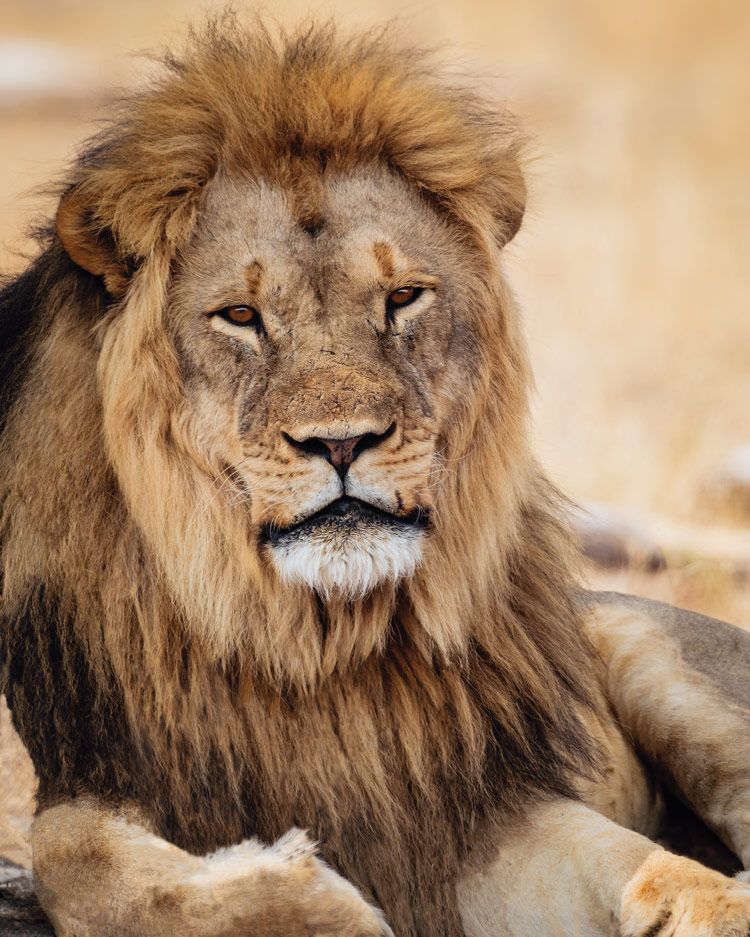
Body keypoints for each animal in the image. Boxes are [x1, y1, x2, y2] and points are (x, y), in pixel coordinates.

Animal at [1, 17, 750, 937]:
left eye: (402, 297)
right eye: (241, 315)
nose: (343, 442)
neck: (316, 639)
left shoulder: (464, 804)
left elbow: (641, 860)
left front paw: (711, 903)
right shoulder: (103, 767)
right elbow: (75, 857)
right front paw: (317, 903)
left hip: (654, 649)